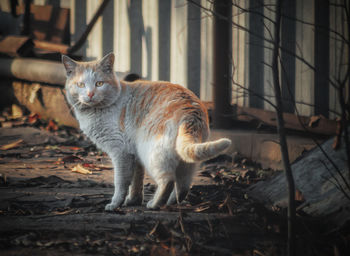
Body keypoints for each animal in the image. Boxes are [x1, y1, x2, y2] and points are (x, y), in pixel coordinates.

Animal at [62, 52, 232, 210]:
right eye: (81, 85)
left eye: (99, 83)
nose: (90, 94)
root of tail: (190, 112)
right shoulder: (134, 155)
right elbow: (136, 182)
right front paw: (133, 201)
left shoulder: (121, 152)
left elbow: (121, 182)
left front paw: (115, 204)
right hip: (185, 162)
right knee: (183, 185)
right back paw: (171, 202)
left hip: (151, 153)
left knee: (168, 181)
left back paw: (155, 204)